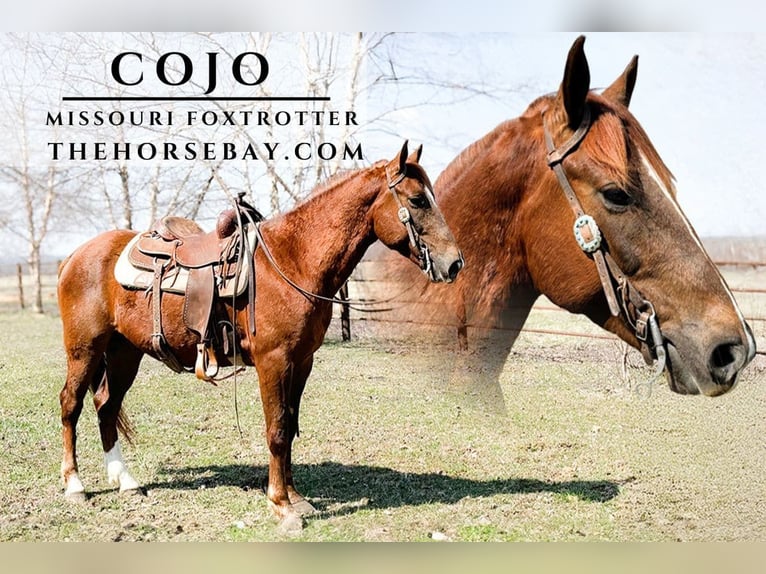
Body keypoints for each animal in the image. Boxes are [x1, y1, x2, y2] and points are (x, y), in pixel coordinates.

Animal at [56, 141, 464, 532]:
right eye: (418, 200)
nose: (455, 263)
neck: (292, 260)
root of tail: (73, 255)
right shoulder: (274, 361)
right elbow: (277, 431)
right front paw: (281, 506)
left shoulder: (301, 361)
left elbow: (290, 424)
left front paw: (296, 497)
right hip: (84, 349)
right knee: (71, 404)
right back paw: (75, 485)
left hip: (125, 352)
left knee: (106, 405)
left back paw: (125, 481)